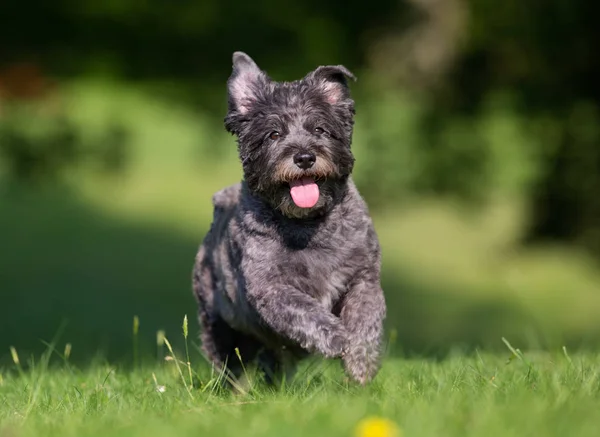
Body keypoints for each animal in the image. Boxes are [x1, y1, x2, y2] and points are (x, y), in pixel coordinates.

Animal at [193, 52, 390, 384]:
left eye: (319, 130)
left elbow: (366, 318)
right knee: (231, 364)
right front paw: (336, 338)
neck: (307, 224)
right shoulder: (270, 289)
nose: (305, 157)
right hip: (220, 326)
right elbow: (305, 309)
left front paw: (360, 363)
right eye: (273, 134)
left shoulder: (364, 278)